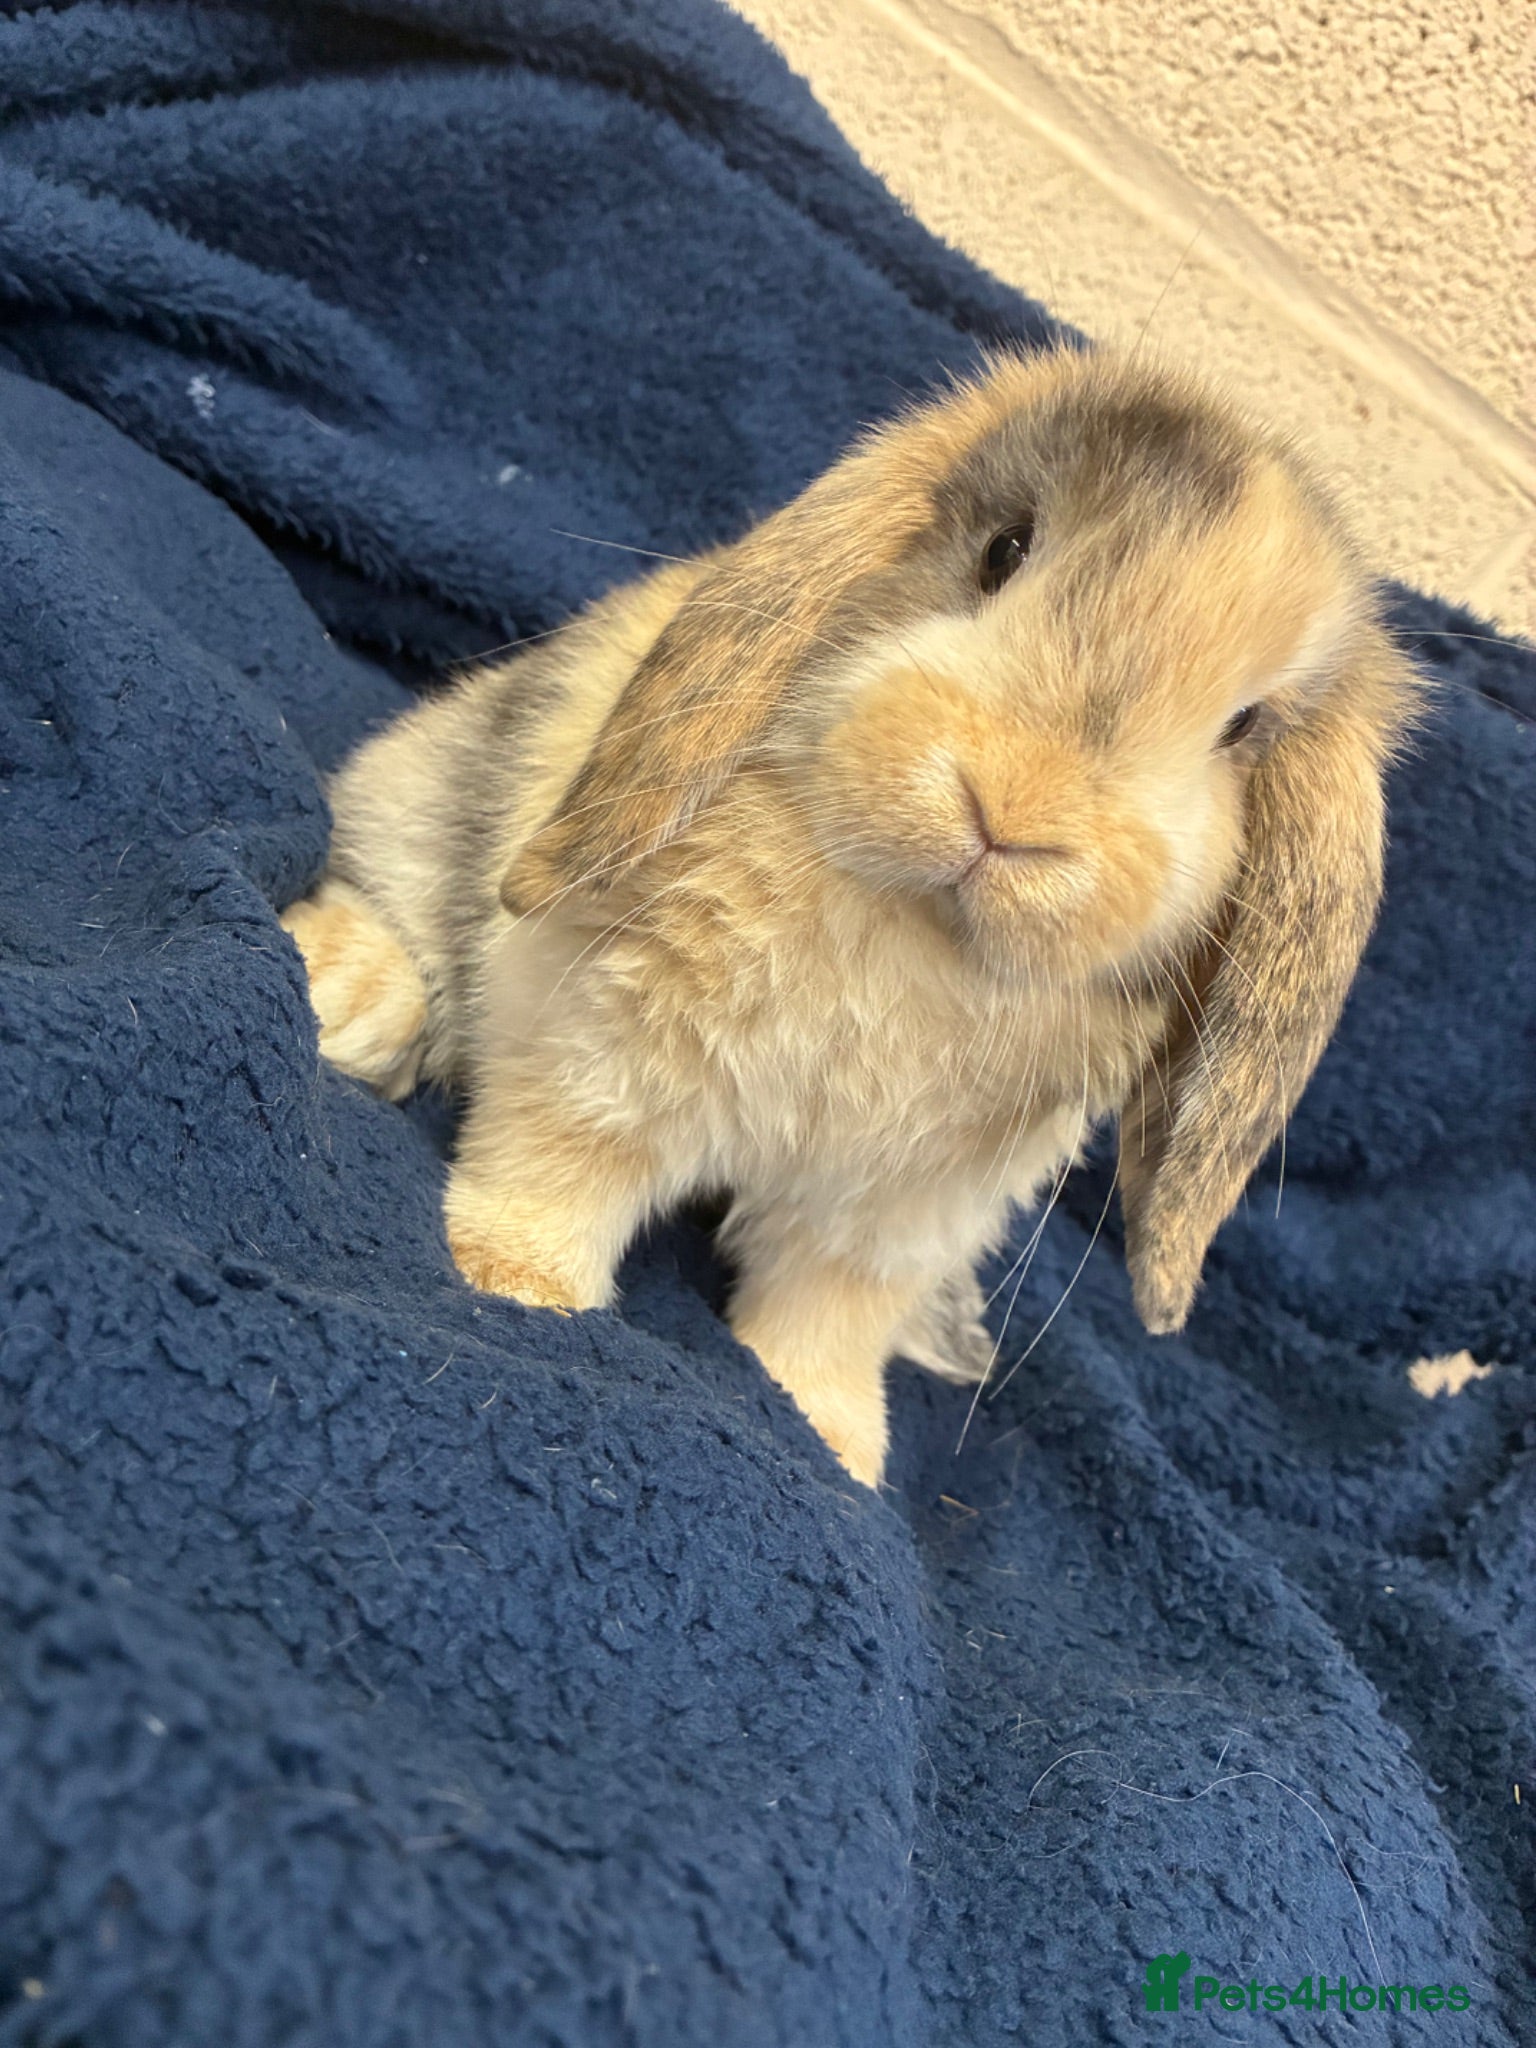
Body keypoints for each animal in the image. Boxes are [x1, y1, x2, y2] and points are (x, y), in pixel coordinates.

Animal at [281, 344, 1420, 1488]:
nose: (1014, 809)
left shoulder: (900, 1211)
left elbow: (830, 1309)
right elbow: (564, 1158)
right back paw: (348, 999)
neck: (913, 929)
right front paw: (514, 1283)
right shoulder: (601, 1039)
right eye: (1004, 548)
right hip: (426, 796)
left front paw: (831, 1439)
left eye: (1243, 727)